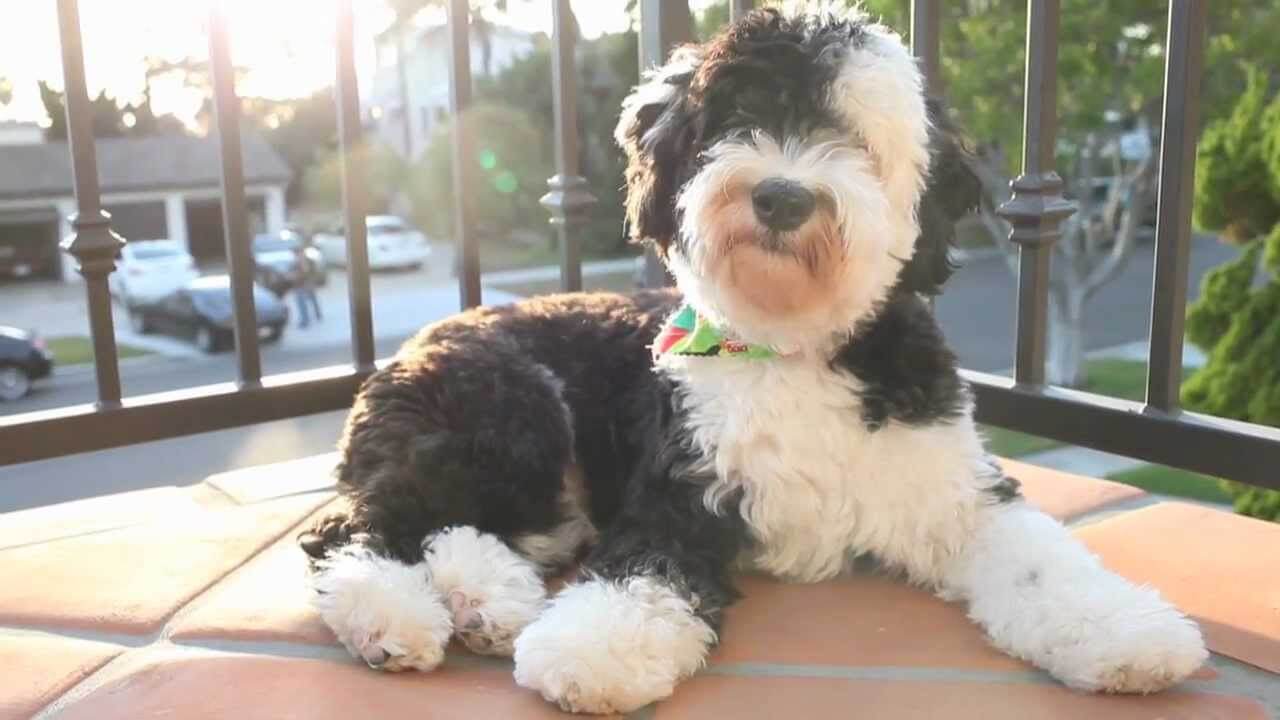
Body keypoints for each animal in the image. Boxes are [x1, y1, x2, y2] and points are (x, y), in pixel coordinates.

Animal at [299, 7, 1208, 712]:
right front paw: (597, 647)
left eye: (856, 139)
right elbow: (642, 575)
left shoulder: (955, 491)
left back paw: (482, 597)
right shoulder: (675, 491)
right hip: (507, 413)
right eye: (733, 121)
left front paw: (1124, 632)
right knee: (355, 526)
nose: (780, 196)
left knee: (460, 528)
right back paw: (394, 614)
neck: (788, 343)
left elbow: (1043, 565)